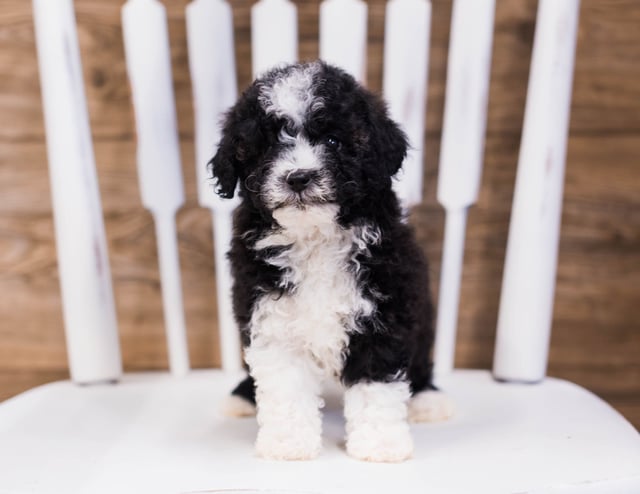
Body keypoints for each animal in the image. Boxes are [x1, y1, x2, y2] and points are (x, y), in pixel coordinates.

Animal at [209, 61, 450, 464]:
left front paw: (380, 445)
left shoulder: (385, 312)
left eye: (334, 142)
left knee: (419, 364)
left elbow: (377, 383)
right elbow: (285, 386)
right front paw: (288, 444)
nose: (298, 177)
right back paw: (242, 397)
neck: (315, 237)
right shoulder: (269, 314)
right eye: (266, 146)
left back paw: (428, 400)